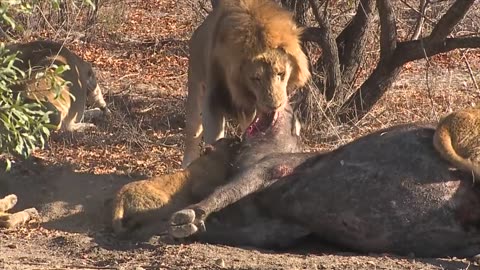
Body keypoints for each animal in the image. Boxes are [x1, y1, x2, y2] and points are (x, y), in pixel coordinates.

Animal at [181, 0, 312, 167]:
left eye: (280, 73)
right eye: (256, 78)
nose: (274, 106)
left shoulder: (251, 109)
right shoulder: (213, 98)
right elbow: (214, 136)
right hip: (195, 84)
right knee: (193, 131)